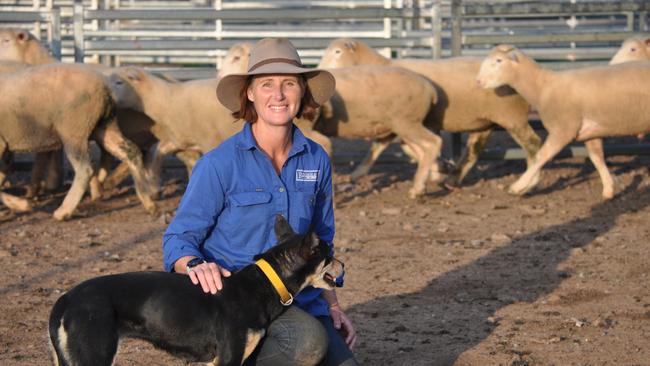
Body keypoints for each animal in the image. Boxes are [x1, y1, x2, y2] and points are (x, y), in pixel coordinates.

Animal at [48, 214, 344, 366]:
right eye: (328, 255)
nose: (343, 265)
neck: (263, 284)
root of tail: (66, 299)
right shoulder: (228, 358)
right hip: (93, 356)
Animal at [316, 38, 540, 184]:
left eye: (337, 52)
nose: (319, 71)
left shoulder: (403, 121)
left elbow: (409, 147)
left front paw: (436, 170)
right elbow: (390, 146)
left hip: (511, 116)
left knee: (532, 145)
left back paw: (528, 182)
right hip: (485, 120)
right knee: (474, 150)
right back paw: (453, 179)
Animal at [474, 46, 648, 202]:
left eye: (498, 60)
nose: (478, 81)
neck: (542, 87)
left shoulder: (563, 129)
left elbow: (541, 156)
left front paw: (518, 187)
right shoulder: (590, 132)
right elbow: (597, 159)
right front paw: (608, 190)